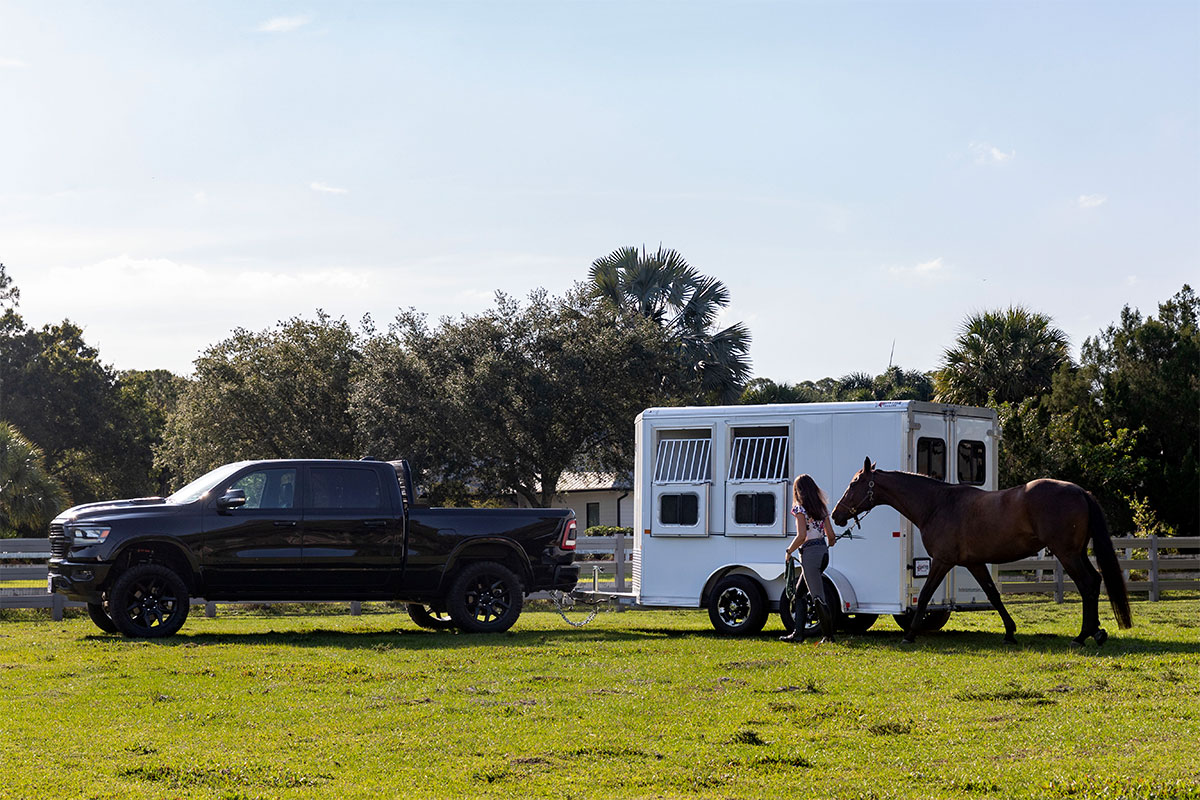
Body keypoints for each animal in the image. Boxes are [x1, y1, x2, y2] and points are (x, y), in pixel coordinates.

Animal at [830, 455, 1128, 642]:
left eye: (854, 483)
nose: (836, 515)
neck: (938, 504)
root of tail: (1081, 492)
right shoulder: (974, 563)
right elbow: (993, 595)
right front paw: (1010, 632)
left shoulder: (942, 561)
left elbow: (924, 596)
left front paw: (910, 634)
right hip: (1076, 553)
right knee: (1095, 581)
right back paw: (1096, 632)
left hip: (1067, 554)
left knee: (1087, 585)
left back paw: (1083, 635)